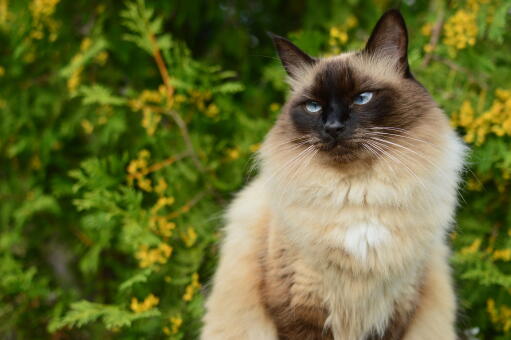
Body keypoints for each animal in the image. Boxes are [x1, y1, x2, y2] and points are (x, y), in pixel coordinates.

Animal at [201, 8, 468, 340]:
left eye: (362, 98)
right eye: (313, 107)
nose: (333, 127)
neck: (357, 195)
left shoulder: (393, 314)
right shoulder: (298, 312)